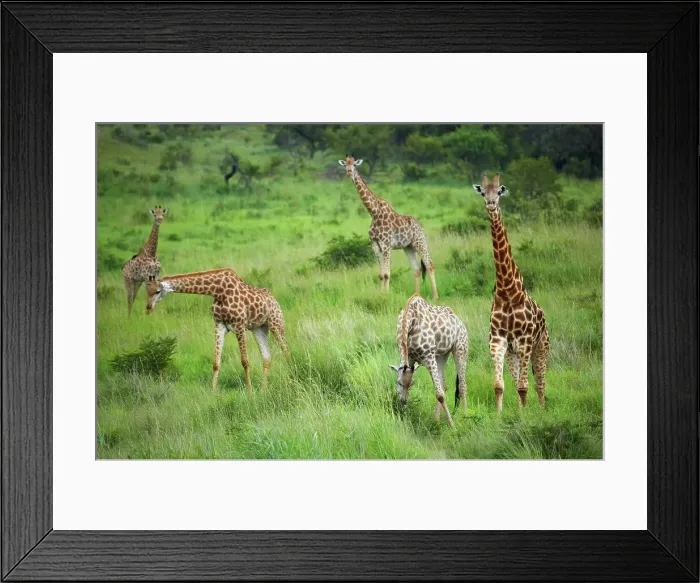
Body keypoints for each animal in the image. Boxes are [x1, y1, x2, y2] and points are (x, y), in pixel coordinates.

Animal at [145, 268, 288, 392]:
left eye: (157, 291)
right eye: (146, 291)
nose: (148, 308)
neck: (218, 290)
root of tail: (275, 300)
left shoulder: (239, 324)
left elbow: (245, 361)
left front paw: (249, 390)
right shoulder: (219, 325)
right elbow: (216, 361)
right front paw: (213, 391)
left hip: (276, 323)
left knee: (286, 350)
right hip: (259, 328)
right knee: (267, 358)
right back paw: (263, 389)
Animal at [339, 156, 439, 300]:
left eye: (354, 165)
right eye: (345, 165)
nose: (348, 173)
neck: (374, 212)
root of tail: (419, 225)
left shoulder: (386, 244)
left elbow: (386, 274)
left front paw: (386, 296)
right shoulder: (375, 245)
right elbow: (381, 275)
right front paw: (381, 294)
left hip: (420, 242)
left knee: (429, 265)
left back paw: (435, 296)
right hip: (408, 247)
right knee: (417, 269)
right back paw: (416, 296)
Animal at [390, 294, 469, 428]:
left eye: (412, 384)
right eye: (398, 382)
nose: (403, 401)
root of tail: (460, 322)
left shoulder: (428, 357)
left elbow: (440, 394)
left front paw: (452, 426)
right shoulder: (410, 360)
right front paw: (404, 418)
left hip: (460, 349)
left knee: (462, 386)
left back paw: (465, 416)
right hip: (441, 355)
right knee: (443, 385)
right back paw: (437, 420)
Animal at [473, 173, 550, 413]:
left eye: (499, 191)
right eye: (483, 192)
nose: (491, 204)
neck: (507, 290)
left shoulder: (525, 341)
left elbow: (525, 386)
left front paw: (525, 418)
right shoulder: (498, 341)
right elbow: (500, 386)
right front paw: (501, 416)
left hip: (541, 348)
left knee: (540, 384)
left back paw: (541, 411)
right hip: (513, 353)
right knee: (518, 382)